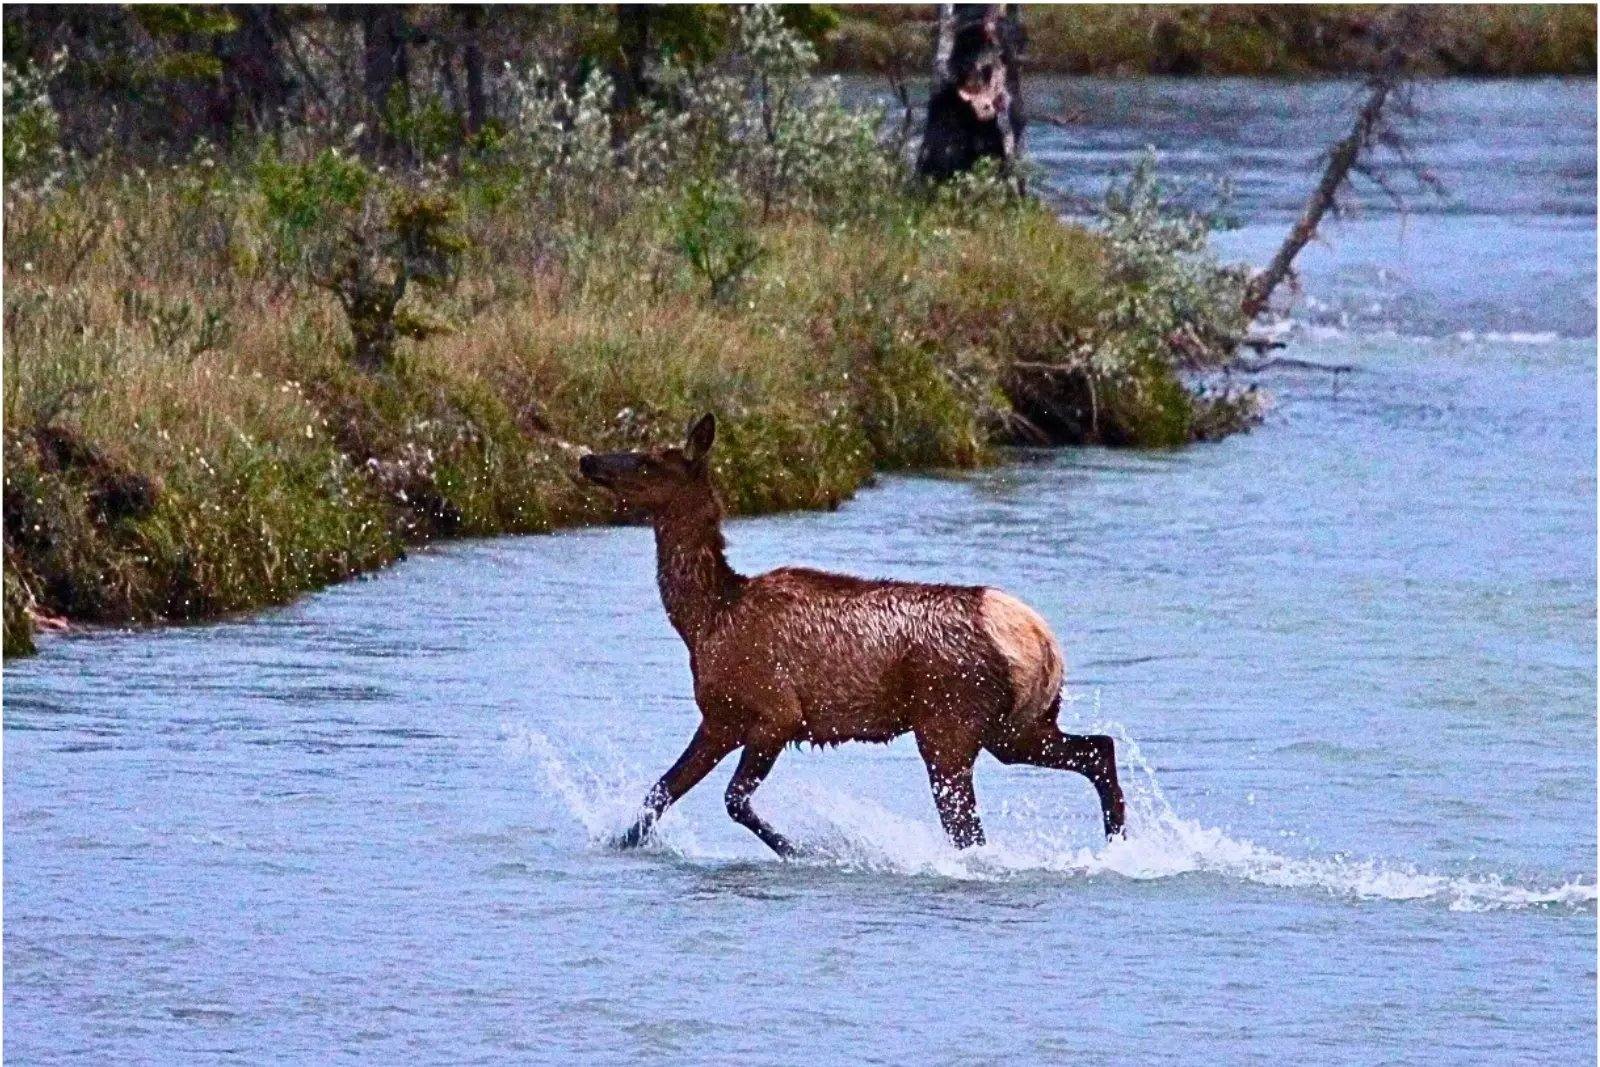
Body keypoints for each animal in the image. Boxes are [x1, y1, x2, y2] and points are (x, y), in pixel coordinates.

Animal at [578, 414, 1126, 858]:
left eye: (649, 461)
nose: (587, 460)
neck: (704, 620)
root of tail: (1042, 642)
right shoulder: (721, 717)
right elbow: (658, 794)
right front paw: (618, 842)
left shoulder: (777, 711)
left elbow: (733, 800)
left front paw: (802, 849)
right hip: (1016, 726)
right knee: (1099, 748)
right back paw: (1119, 842)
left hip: (949, 722)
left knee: (969, 830)